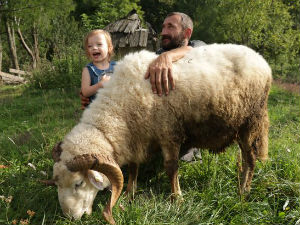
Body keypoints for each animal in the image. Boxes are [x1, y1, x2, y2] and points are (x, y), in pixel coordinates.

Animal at [48, 43, 272, 224]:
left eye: (78, 183)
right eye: (57, 183)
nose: (69, 218)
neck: (119, 109)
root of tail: (262, 61)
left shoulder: (169, 132)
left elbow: (171, 168)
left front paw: (177, 198)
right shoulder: (135, 137)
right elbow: (133, 167)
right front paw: (129, 193)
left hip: (250, 122)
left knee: (250, 159)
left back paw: (243, 191)